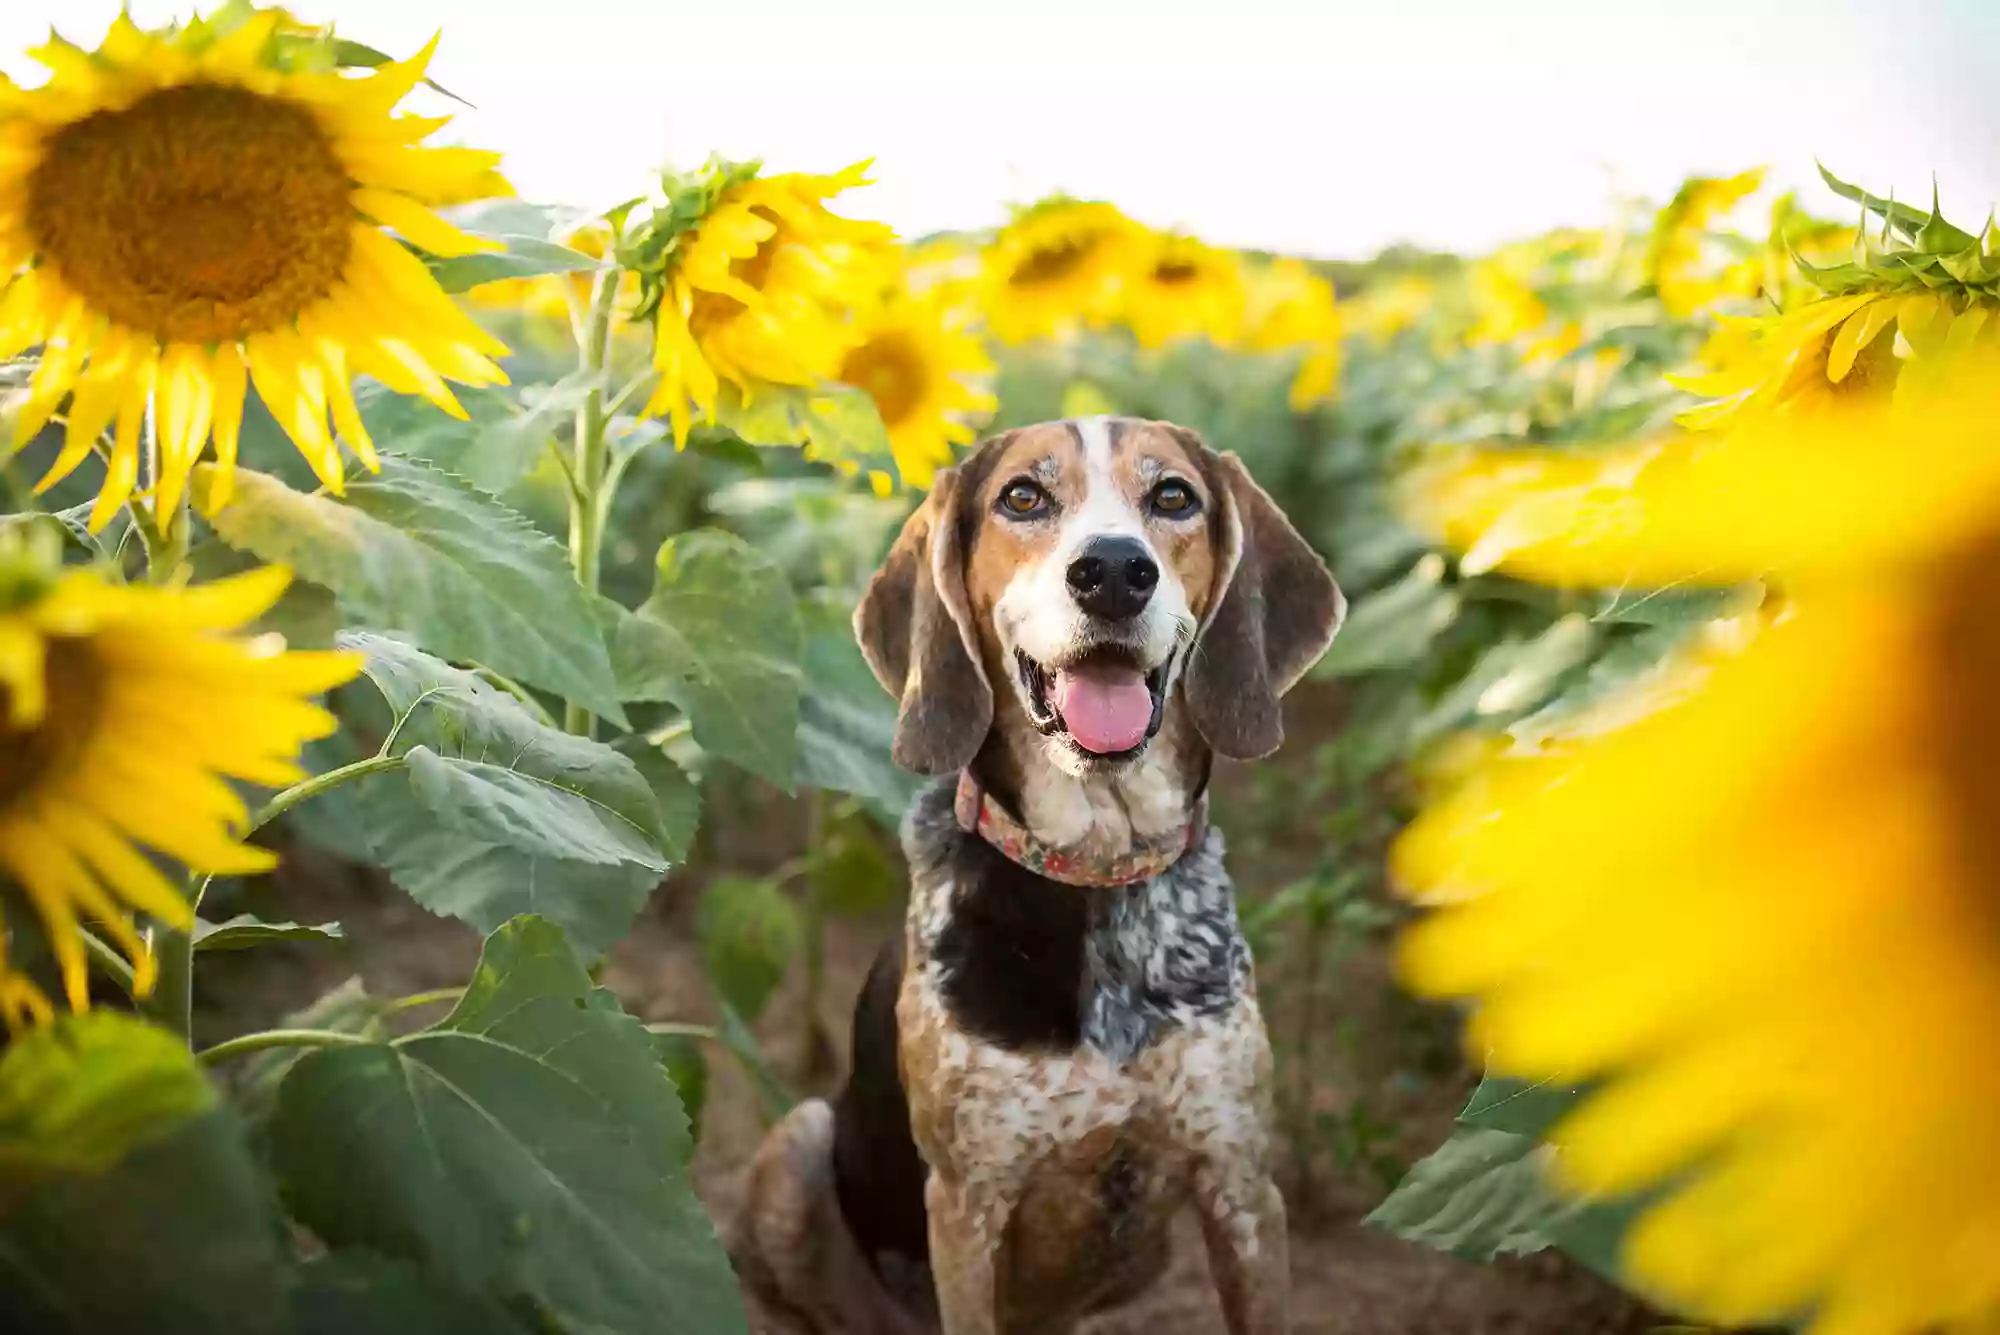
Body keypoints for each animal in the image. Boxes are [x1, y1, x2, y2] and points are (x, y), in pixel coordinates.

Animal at [732, 417, 1344, 1335]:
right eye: (1023, 496)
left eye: (1174, 496)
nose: (1115, 571)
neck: (1096, 869)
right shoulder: (966, 1206)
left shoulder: (1242, 1186)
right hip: (797, 1142)